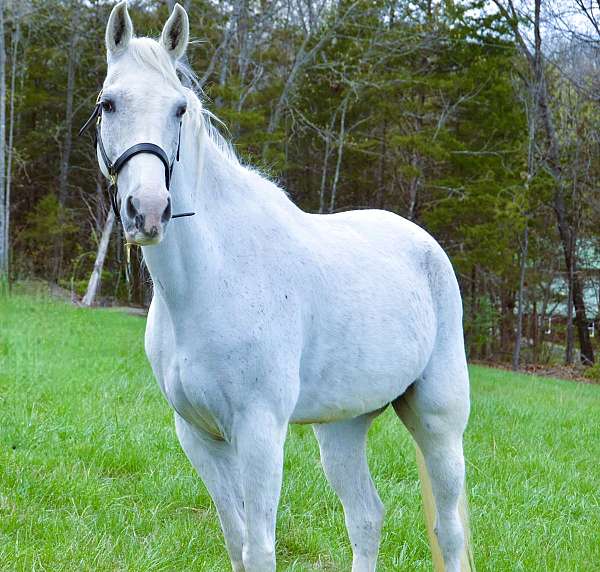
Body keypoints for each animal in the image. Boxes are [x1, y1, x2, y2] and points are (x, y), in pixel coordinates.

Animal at [92, 2, 474, 568]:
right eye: (108, 103)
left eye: (179, 109)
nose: (149, 211)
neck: (211, 281)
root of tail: (425, 246)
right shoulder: (199, 436)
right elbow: (236, 542)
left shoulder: (259, 432)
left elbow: (259, 549)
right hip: (342, 427)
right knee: (366, 518)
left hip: (439, 424)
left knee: (448, 532)